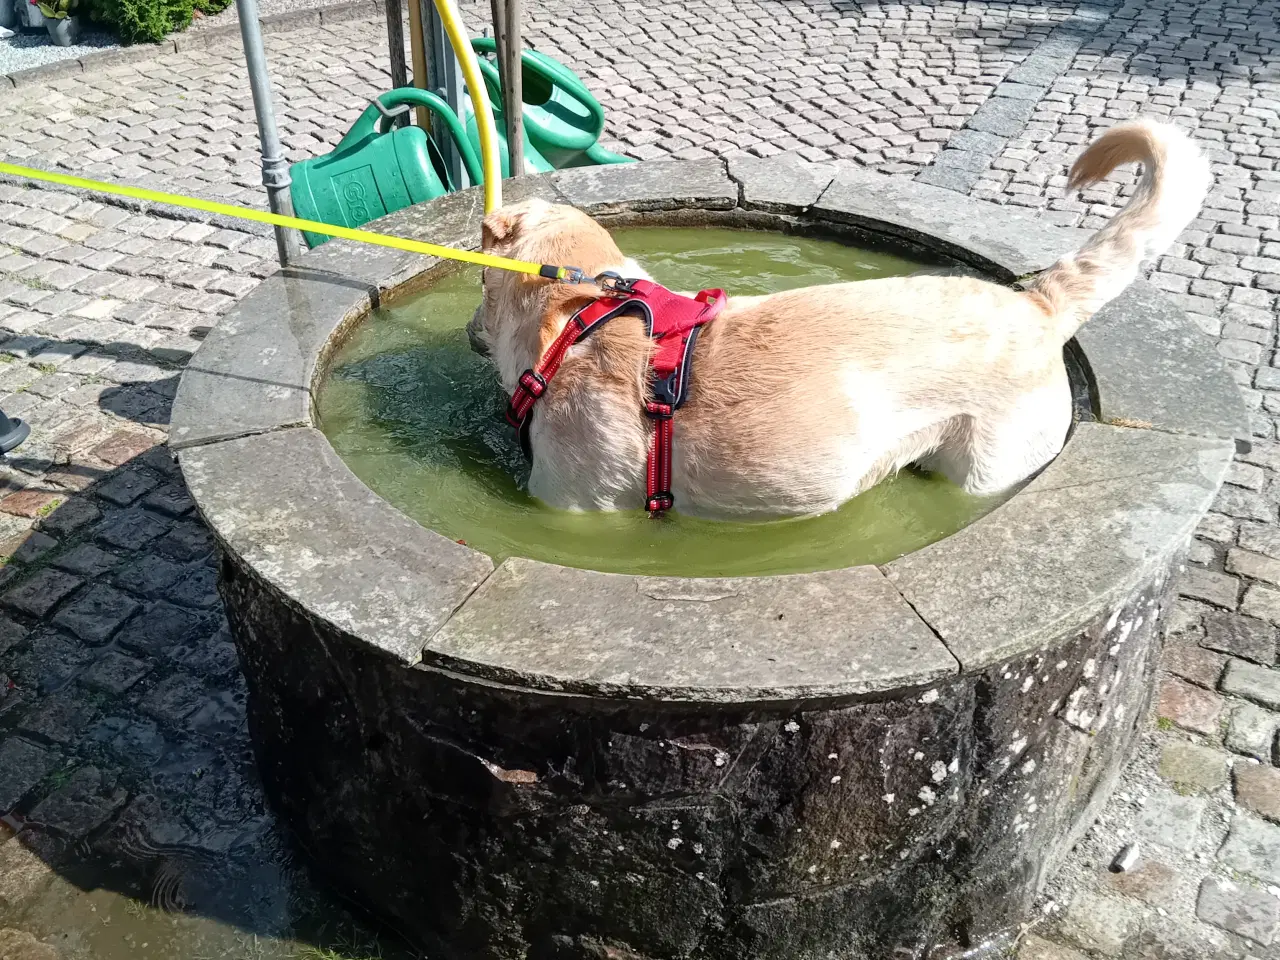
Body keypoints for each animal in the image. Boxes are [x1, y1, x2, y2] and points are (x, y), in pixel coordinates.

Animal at [468, 124, 1208, 522]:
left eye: (479, 282)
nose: (471, 331)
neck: (579, 315)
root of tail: (1038, 303)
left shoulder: (576, 509)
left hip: (987, 470)